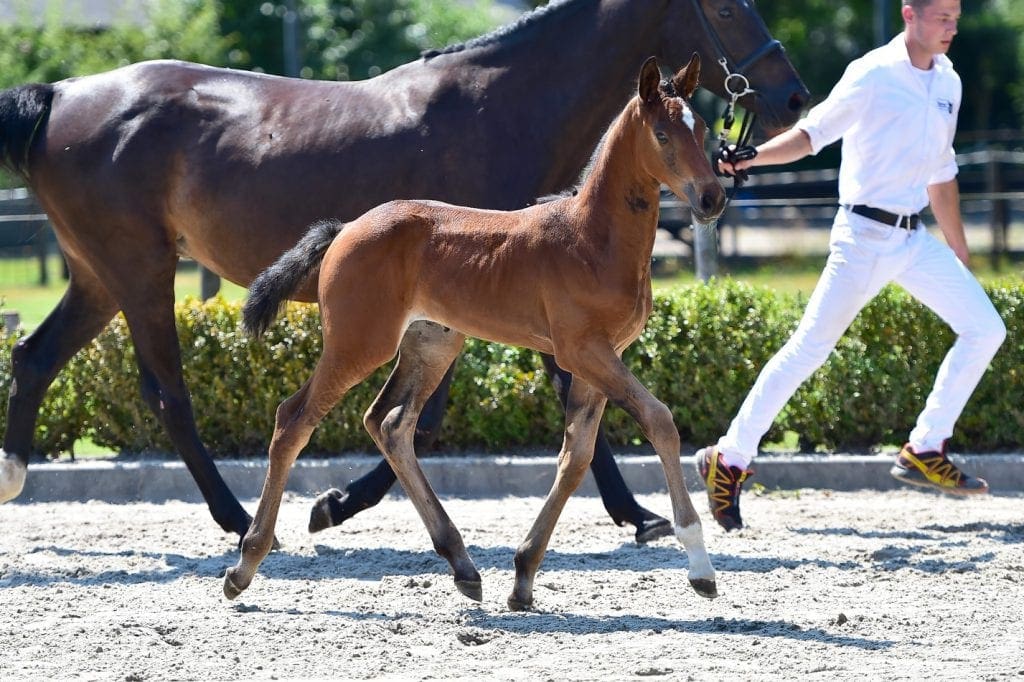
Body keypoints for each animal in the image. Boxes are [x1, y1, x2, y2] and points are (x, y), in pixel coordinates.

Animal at [0, 0, 807, 544]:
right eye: (728, 5)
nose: (794, 94)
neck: (498, 108)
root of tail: (60, 93)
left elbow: (546, 392)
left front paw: (634, 513)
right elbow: (447, 409)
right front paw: (335, 504)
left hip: (98, 275)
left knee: (34, 356)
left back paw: (15, 476)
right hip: (140, 269)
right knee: (166, 392)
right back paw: (236, 519)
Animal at [228, 54, 723, 609]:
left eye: (703, 129)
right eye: (662, 134)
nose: (712, 198)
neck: (592, 238)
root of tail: (346, 228)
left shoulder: (600, 358)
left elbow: (576, 458)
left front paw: (523, 576)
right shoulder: (582, 351)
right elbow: (658, 421)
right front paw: (700, 565)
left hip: (433, 343)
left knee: (389, 424)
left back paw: (462, 564)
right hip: (358, 343)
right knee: (294, 420)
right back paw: (245, 564)